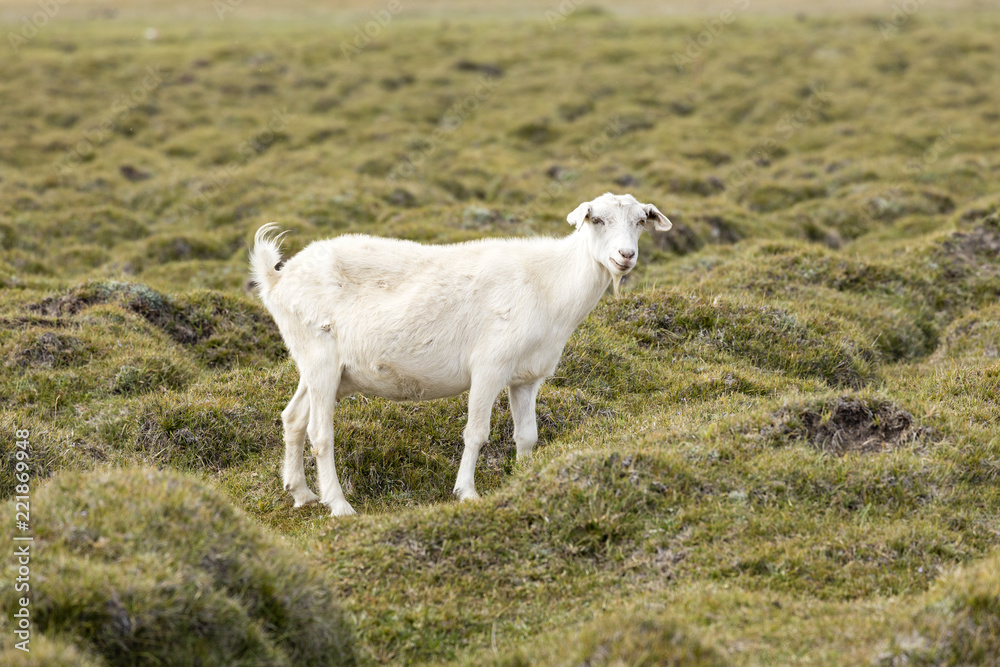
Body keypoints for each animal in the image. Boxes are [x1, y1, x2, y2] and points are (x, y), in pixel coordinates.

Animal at [250, 193, 672, 516]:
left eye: (640, 221)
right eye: (596, 219)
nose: (625, 255)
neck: (549, 283)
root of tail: (277, 278)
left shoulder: (526, 377)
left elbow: (527, 436)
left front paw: (524, 478)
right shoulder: (489, 366)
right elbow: (476, 433)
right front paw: (466, 492)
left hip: (325, 370)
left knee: (293, 418)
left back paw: (302, 494)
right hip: (320, 358)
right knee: (320, 433)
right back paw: (338, 505)